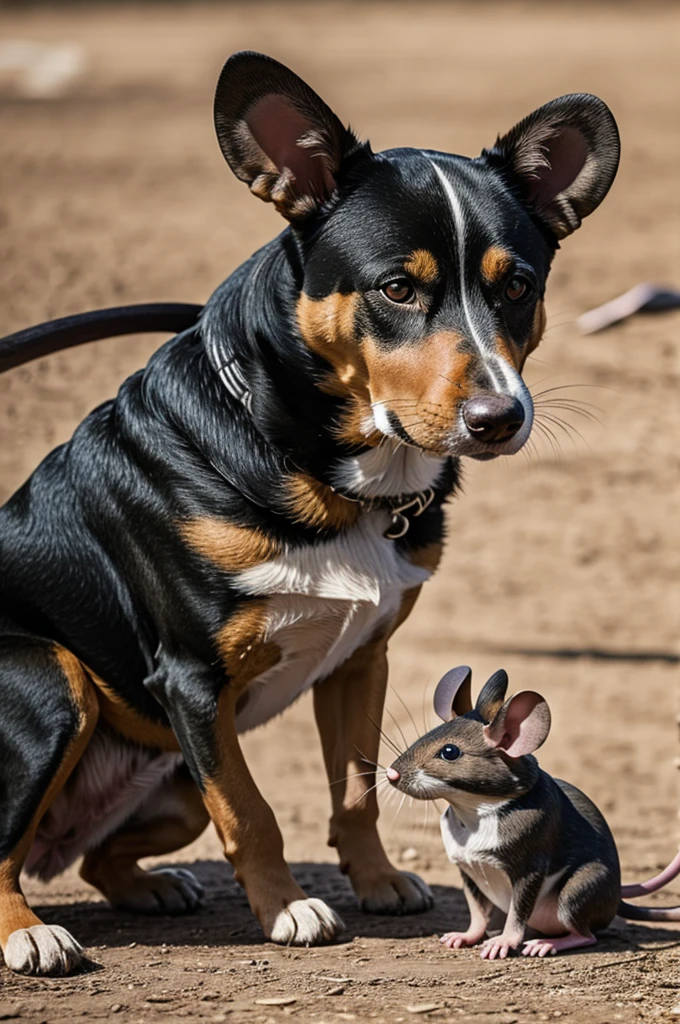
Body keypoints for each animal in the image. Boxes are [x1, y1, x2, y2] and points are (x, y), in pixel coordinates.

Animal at [0, 49, 618, 974]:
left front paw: (377, 883)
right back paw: (29, 931)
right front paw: (289, 908)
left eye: (519, 286)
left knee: (102, 851)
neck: (325, 472)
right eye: (397, 288)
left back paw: (149, 886)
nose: (499, 418)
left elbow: (356, 789)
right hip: (53, 678)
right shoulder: (191, 680)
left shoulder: (361, 659)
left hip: (171, 782)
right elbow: (251, 812)